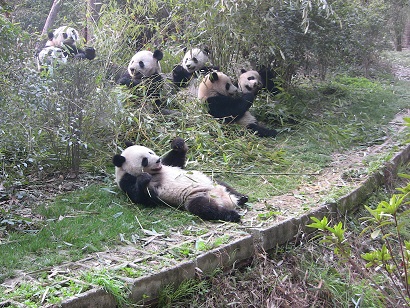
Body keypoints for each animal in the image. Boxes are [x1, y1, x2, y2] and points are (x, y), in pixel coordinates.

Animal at [112, 137, 247, 221]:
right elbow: (140, 196)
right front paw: (144, 178)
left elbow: (176, 161)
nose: (158, 160)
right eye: (144, 160)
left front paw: (178, 144)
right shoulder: (126, 181)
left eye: (150, 152)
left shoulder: (167, 164)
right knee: (206, 208)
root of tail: (228, 200)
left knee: (225, 185)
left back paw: (242, 197)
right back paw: (232, 215)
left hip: (211, 181)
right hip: (194, 197)